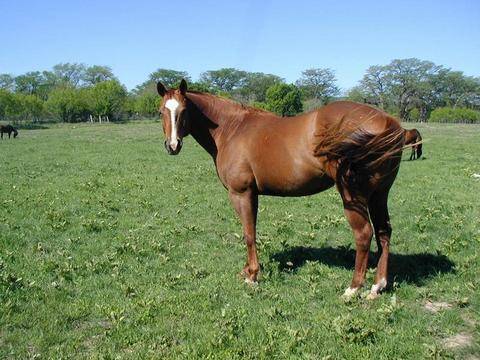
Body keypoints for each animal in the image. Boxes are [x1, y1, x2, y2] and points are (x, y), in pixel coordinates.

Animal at [158, 80, 404, 300]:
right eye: (161, 111)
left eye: (183, 110)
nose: (173, 146)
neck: (232, 128)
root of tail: (389, 121)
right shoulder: (253, 195)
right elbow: (251, 231)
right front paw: (248, 270)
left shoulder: (241, 194)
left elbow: (249, 234)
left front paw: (252, 275)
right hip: (379, 195)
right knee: (383, 232)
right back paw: (377, 286)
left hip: (352, 196)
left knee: (364, 234)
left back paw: (353, 288)